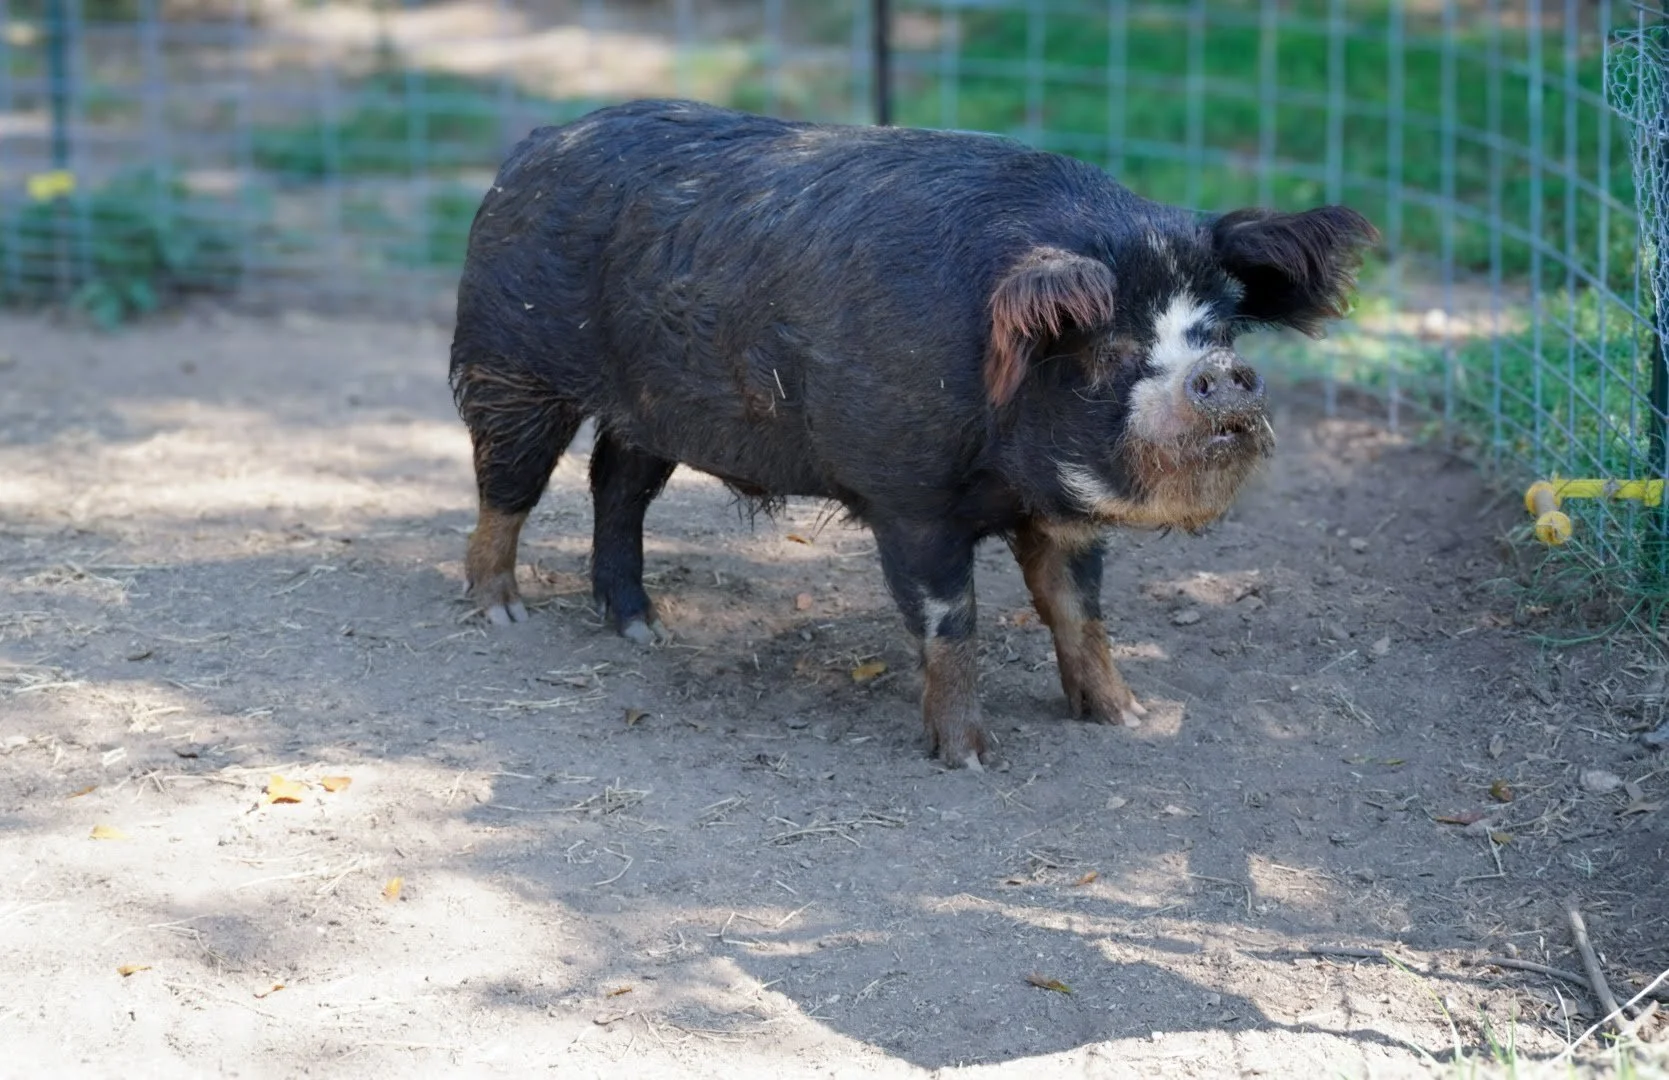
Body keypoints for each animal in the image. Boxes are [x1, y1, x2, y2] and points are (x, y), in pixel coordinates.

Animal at [449, 99, 1378, 770]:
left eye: (1220, 330)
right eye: (1112, 346)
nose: (1222, 374)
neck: (1005, 468)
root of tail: (533, 146)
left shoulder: (1057, 515)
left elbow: (1078, 613)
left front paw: (1127, 718)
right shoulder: (908, 497)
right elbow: (950, 621)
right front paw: (968, 760)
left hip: (651, 409)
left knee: (616, 481)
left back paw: (644, 629)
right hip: (509, 361)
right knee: (507, 485)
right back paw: (502, 615)